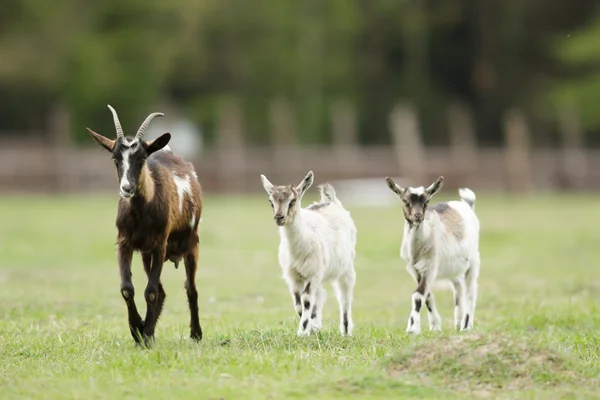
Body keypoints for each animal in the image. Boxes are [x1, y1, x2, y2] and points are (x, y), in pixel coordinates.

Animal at [86, 104, 204, 346]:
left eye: (141, 158)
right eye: (115, 158)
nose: (127, 188)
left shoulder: (160, 245)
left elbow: (150, 291)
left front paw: (146, 332)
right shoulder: (125, 243)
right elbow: (127, 289)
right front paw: (138, 330)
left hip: (192, 244)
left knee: (191, 288)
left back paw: (196, 333)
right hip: (146, 254)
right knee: (162, 289)